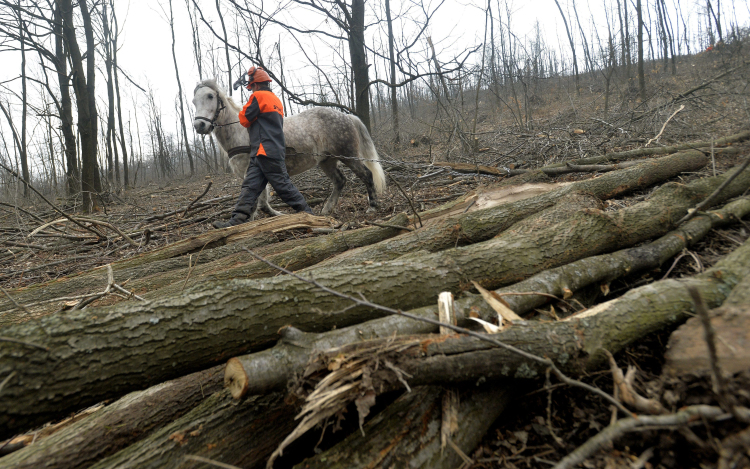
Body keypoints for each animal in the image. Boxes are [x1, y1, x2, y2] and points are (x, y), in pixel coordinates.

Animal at [192, 78, 388, 218]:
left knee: (366, 175)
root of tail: (347, 116)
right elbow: (260, 202)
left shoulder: (251, 170)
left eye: (210, 96)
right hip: (327, 161)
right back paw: (327, 209)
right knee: (340, 181)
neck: (240, 131)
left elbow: (256, 202)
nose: (199, 125)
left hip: (348, 155)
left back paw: (372, 206)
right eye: (194, 101)